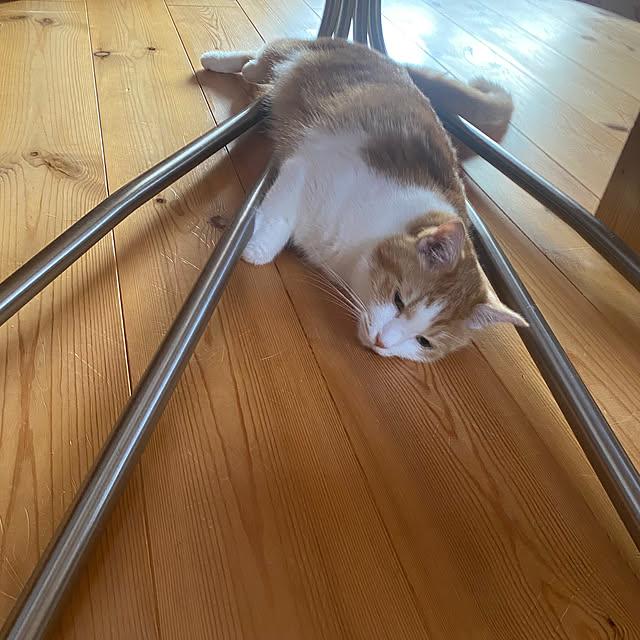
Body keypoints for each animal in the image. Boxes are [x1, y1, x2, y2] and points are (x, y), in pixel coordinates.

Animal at [201, 38, 526, 362]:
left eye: (424, 342)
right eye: (398, 300)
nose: (383, 342)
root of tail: (378, 53)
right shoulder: (307, 166)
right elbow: (279, 215)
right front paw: (255, 249)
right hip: (290, 58)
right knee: (260, 58)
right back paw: (217, 60)